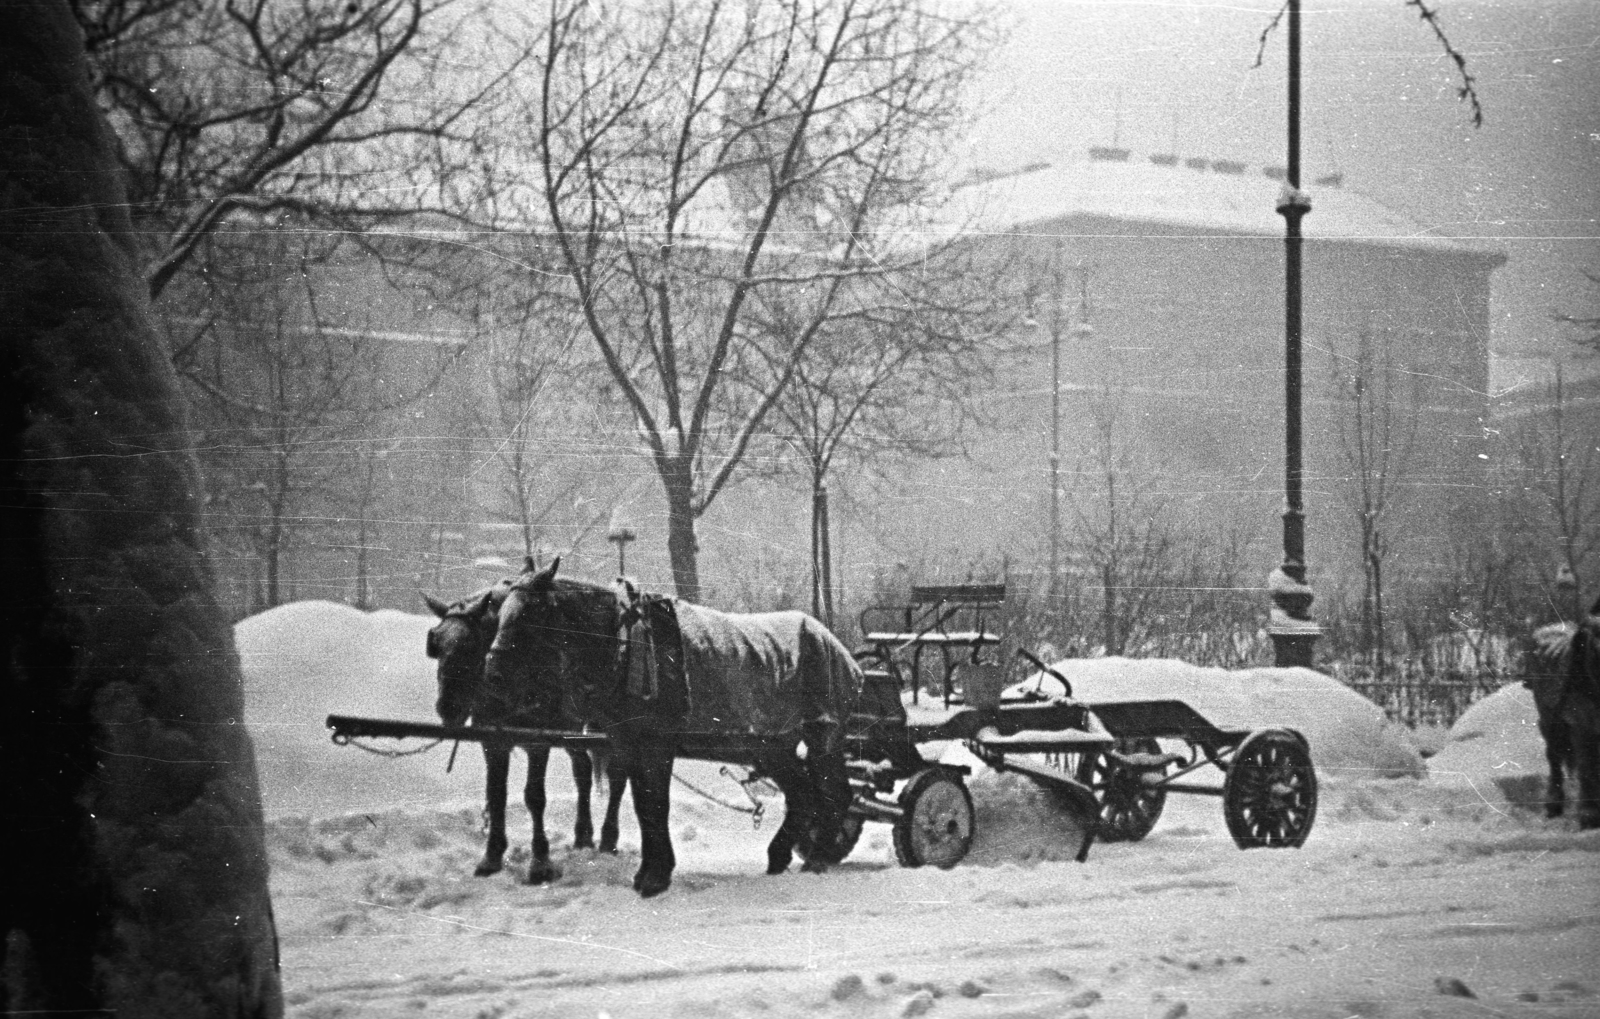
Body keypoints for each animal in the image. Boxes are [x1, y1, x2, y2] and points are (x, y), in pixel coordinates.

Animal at [422, 579, 627, 883]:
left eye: (470, 645)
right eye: (436, 644)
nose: (448, 707)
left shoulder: (536, 741)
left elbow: (534, 797)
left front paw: (540, 863)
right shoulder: (492, 741)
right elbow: (496, 795)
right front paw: (492, 856)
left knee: (616, 777)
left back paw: (608, 839)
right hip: (570, 728)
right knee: (582, 770)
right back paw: (583, 836)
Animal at [476, 556, 864, 895]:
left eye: (530, 613)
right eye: (501, 613)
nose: (492, 674)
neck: (625, 644)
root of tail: (838, 648)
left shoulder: (656, 743)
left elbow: (656, 805)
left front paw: (656, 877)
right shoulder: (627, 742)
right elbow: (642, 805)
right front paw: (649, 871)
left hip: (823, 734)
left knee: (834, 794)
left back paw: (818, 857)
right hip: (772, 745)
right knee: (802, 793)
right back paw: (780, 855)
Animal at [1523, 595, 1600, 825]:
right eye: (1595, 634)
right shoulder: (1582, 723)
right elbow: (1588, 765)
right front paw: (1589, 814)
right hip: (1549, 719)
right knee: (1555, 757)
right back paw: (1554, 804)